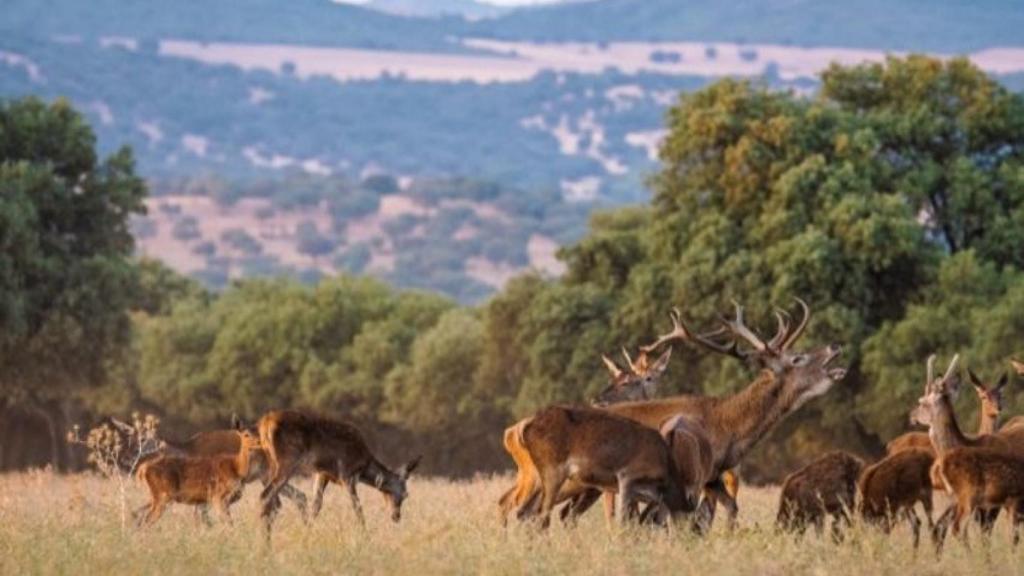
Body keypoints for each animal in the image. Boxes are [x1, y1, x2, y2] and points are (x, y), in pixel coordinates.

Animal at [133, 416, 264, 524]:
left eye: (258, 433)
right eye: (246, 434)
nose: (259, 442)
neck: (237, 468)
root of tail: (142, 469)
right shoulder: (218, 497)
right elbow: (227, 523)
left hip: (155, 496)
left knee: (138, 514)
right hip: (163, 496)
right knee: (146, 520)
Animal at [258, 407, 421, 532]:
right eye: (405, 494)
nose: (396, 516)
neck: (364, 464)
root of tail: (265, 424)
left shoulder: (322, 473)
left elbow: (317, 505)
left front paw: (308, 531)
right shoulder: (347, 475)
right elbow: (357, 507)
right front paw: (365, 536)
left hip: (272, 463)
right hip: (288, 461)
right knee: (266, 495)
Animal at [495, 342, 671, 522]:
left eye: (649, 378)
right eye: (615, 379)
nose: (597, 399)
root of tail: (511, 433)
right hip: (544, 477)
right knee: (522, 506)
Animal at [520, 401, 688, 528]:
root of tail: (526, 430)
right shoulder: (627, 476)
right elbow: (624, 521)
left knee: (533, 511)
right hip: (553, 471)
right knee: (543, 516)